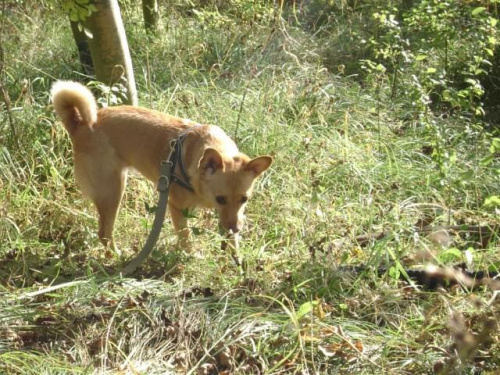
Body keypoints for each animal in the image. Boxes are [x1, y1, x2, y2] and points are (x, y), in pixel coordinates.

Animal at [49, 81, 274, 258]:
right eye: (221, 199)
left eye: (244, 199)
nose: (237, 227)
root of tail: (81, 124)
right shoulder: (177, 209)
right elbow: (185, 239)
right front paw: (191, 257)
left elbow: (229, 240)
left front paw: (236, 261)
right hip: (112, 192)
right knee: (104, 233)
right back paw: (117, 257)